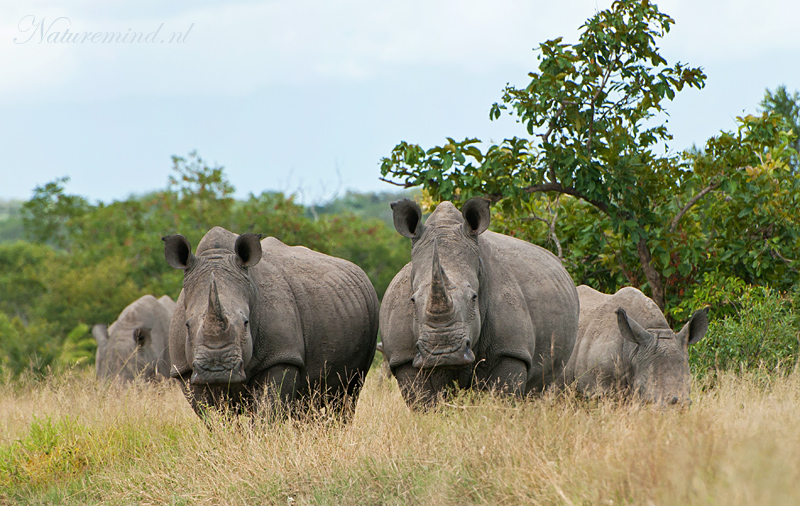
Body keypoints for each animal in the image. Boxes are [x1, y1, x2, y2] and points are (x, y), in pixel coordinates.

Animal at [164, 227, 380, 418]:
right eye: (187, 325)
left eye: (246, 323)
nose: (218, 370)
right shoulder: (184, 370)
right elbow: (212, 416)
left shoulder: (281, 356)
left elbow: (268, 411)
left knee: (346, 395)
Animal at [382, 198, 580, 408]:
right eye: (412, 300)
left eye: (474, 297)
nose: (443, 353)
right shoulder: (403, 357)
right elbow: (423, 402)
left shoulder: (510, 350)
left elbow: (503, 398)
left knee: (539, 386)